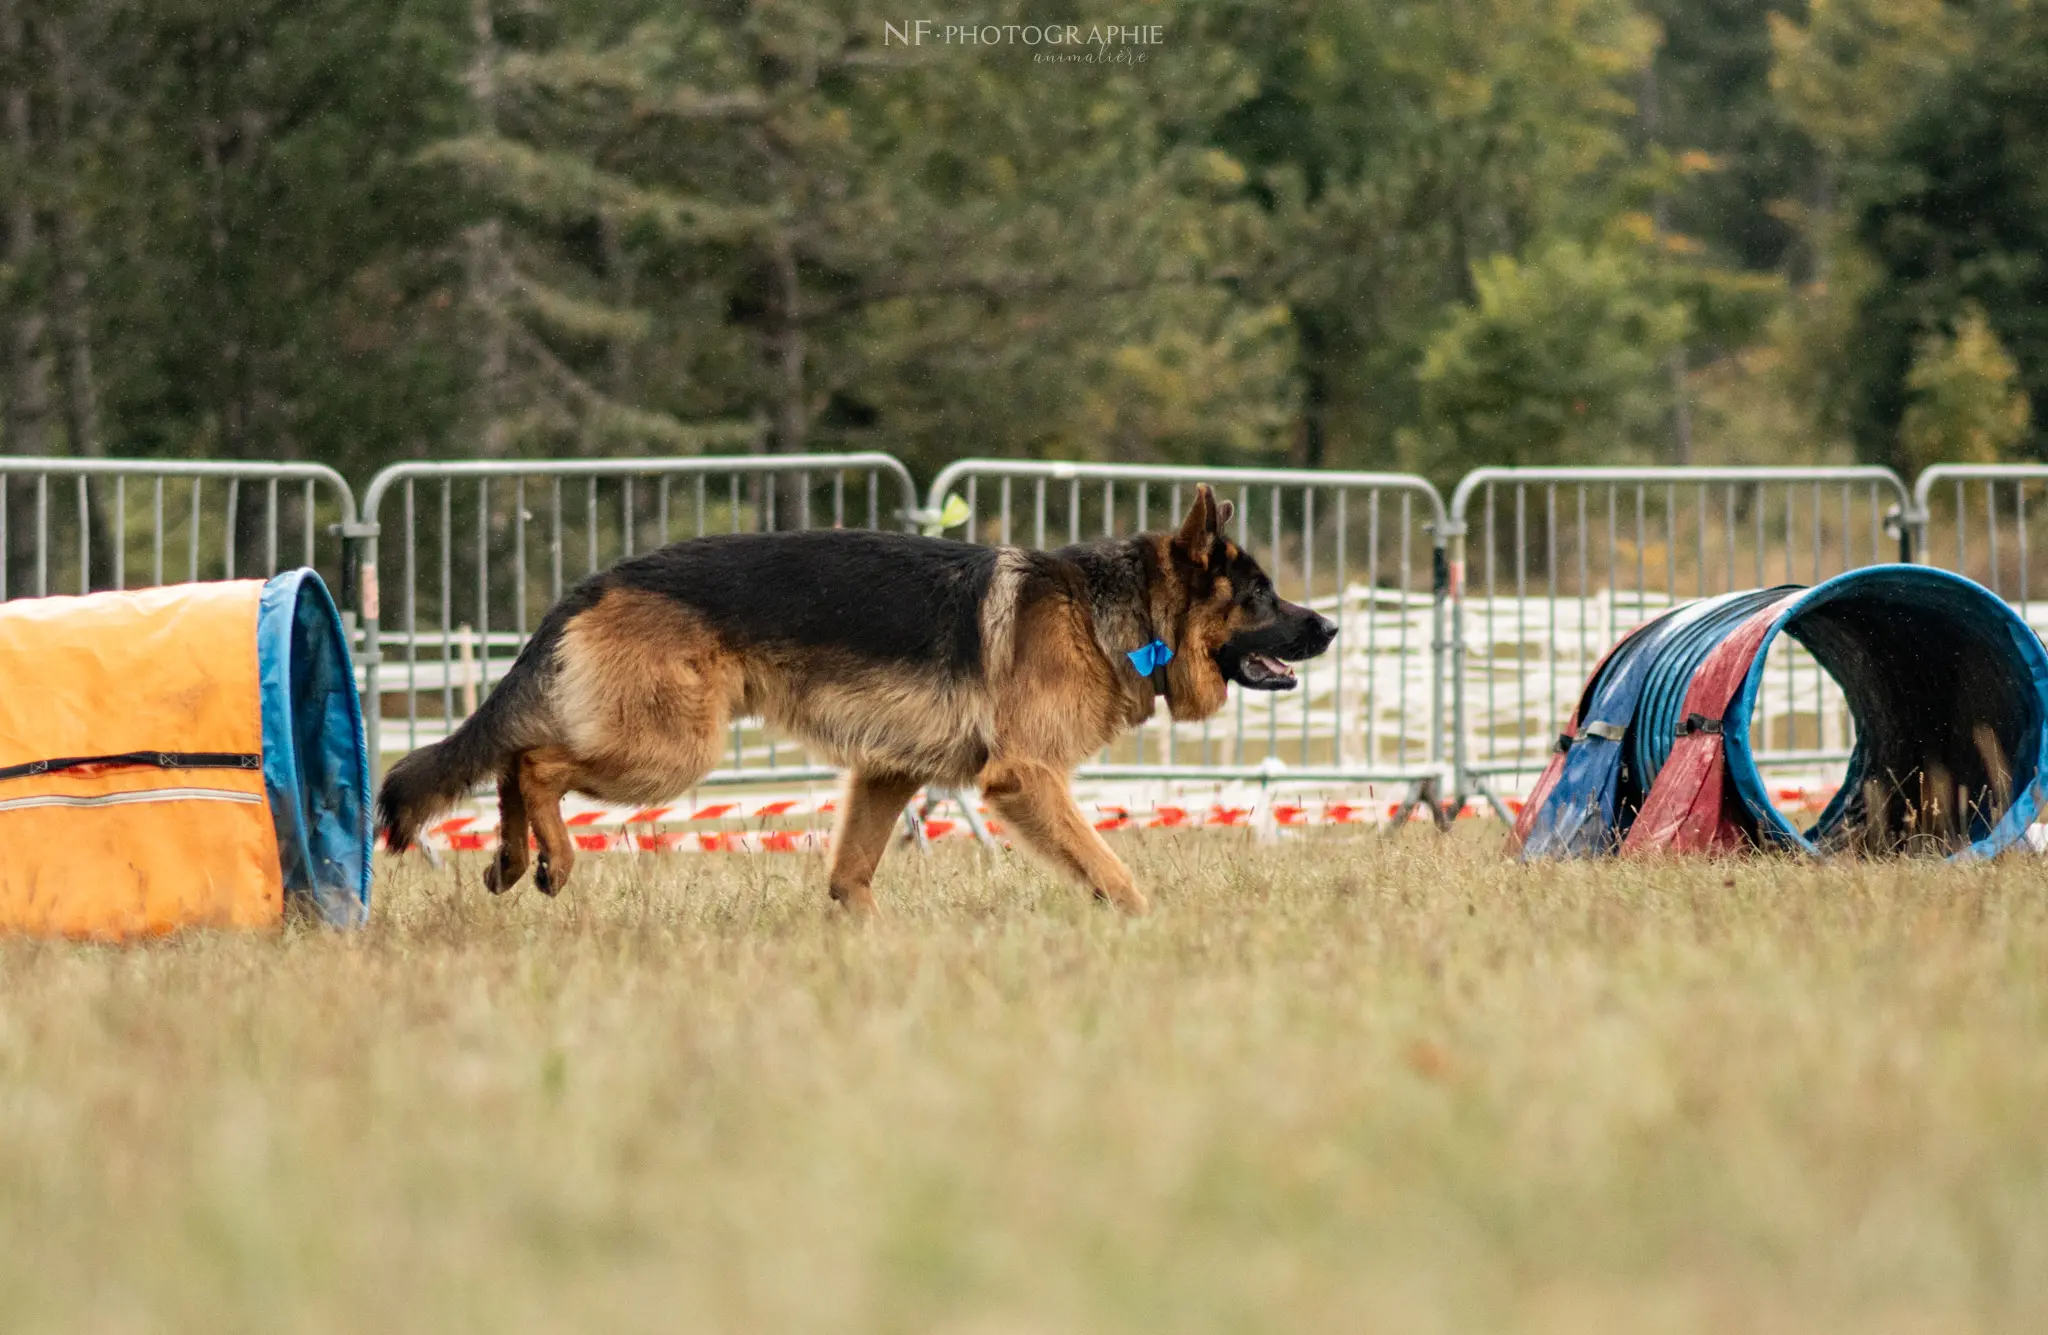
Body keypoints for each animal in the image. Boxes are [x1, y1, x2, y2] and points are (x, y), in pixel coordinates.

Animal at [380, 485, 1343, 913]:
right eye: (1260, 596)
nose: (1331, 625)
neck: (1123, 610)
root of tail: (597, 580)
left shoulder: (886, 773)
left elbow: (850, 876)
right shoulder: (1026, 779)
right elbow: (1112, 871)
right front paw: (1143, 927)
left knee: (509, 758)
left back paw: (508, 861)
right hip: (665, 752)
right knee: (531, 759)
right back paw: (551, 860)